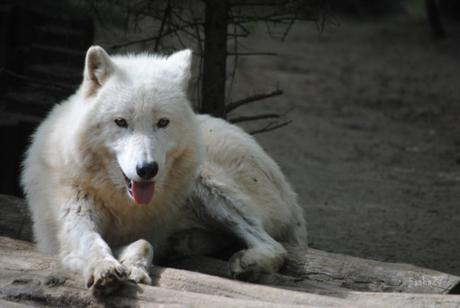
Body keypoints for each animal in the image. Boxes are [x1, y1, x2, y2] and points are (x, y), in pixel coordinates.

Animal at [22, 45, 310, 294]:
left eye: (162, 122)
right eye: (121, 122)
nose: (147, 169)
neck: (125, 205)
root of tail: (290, 193)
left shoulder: (147, 232)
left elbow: (144, 244)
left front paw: (135, 269)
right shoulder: (69, 228)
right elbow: (94, 242)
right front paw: (105, 268)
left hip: (203, 180)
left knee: (274, 246)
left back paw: (245, 262)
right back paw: (183, 244)